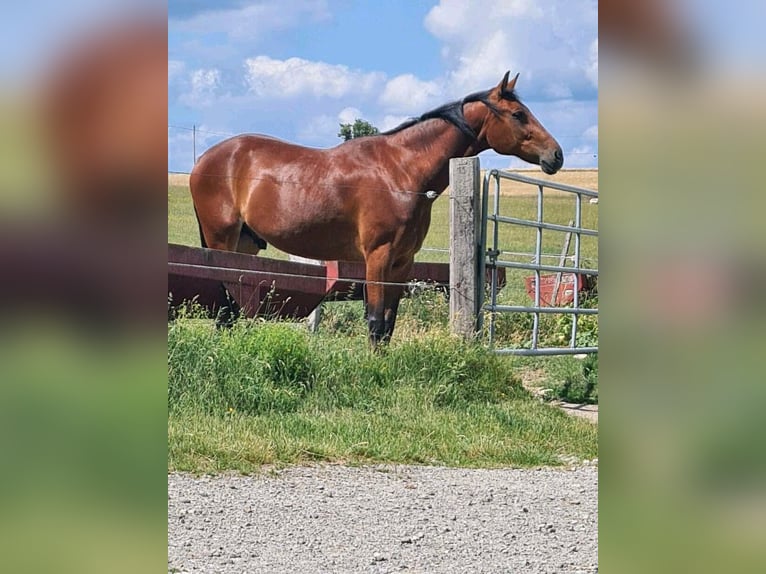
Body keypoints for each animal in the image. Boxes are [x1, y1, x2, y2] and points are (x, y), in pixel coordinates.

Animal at [192, 70, 564, 344]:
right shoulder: (377, 257)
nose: (556, 155)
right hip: (221, 240)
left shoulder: (402, 261)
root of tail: (206, 160)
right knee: (225, 304)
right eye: (518, 114)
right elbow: (374, 319)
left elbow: (388, 322)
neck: (400, 171)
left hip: (246, 244)